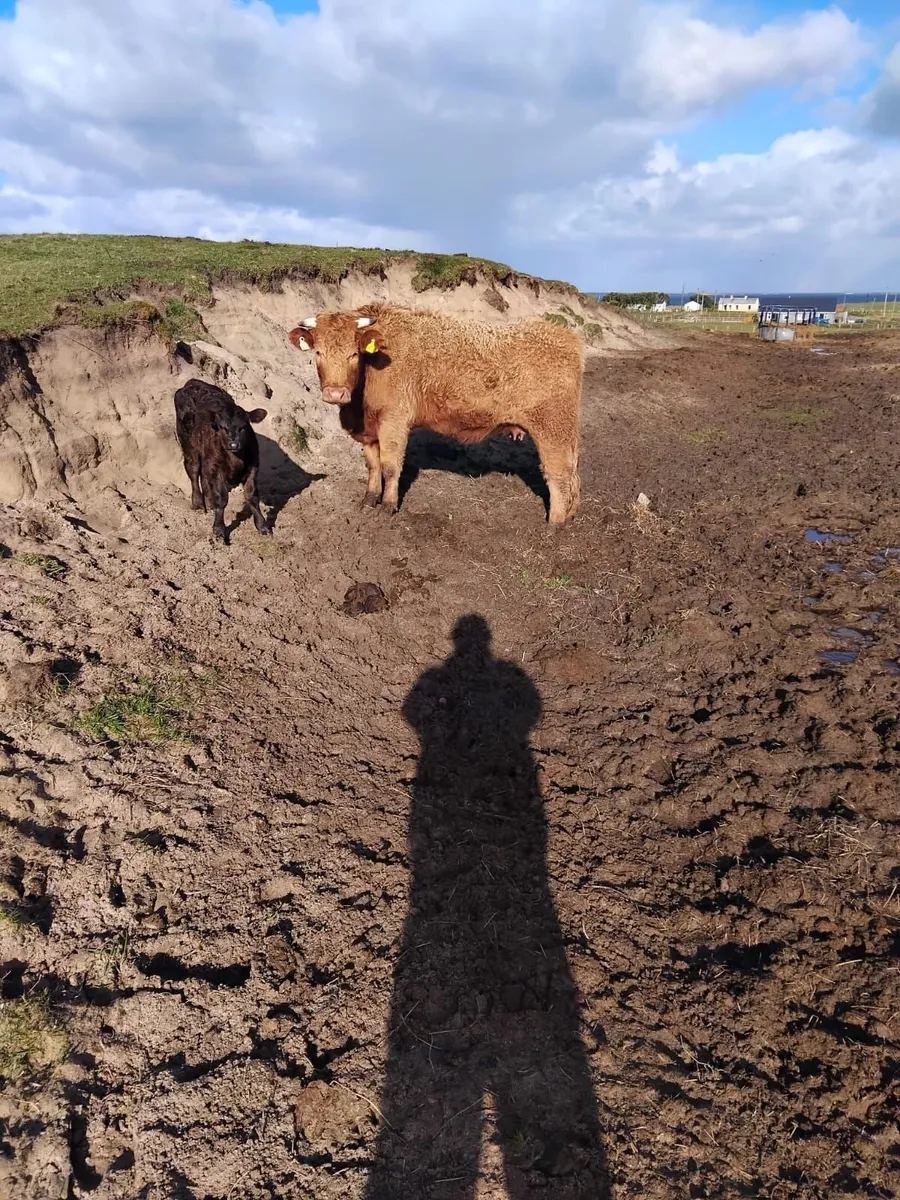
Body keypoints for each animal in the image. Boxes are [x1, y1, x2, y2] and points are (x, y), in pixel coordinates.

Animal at [173, 378, 270, 544]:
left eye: (243, 427)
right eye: (222, 427)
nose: (234, 444)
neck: (236, 459)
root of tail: (191, 383)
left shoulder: (253, 466)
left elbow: (251, 495)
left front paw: (262, 526)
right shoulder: (217, 469)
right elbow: (221, 498)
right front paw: (219, 530)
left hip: (207, 458)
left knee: (204, 477)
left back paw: (208, 502)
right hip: (189, 446)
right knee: (193, 471)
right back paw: (198, 503)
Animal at [287, 305, 582, 525]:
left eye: (353, 354)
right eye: (318, 352)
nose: (335, 393)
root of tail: (565, 336)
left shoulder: (394, 421)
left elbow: (390, 466)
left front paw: (388, 505)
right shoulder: (369, 430)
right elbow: (373, 465)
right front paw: (370, 499)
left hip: (553, 430)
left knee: (558, 474)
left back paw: (555, 523)